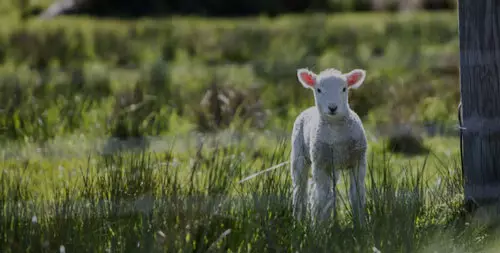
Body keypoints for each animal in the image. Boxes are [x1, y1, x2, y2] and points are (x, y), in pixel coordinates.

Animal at [292, 67, 370, 225]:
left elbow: (357, 195)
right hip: (299, 156)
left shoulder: (358, 161)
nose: (332, 107)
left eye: (344, 88)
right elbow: (323, 198)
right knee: (301, 191)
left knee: (318, 192)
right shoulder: (321, 164)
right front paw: (320, 227)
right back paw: (299, 221)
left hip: (334, 167)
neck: (335, 130)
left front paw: (361, 224)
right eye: (319, 89)